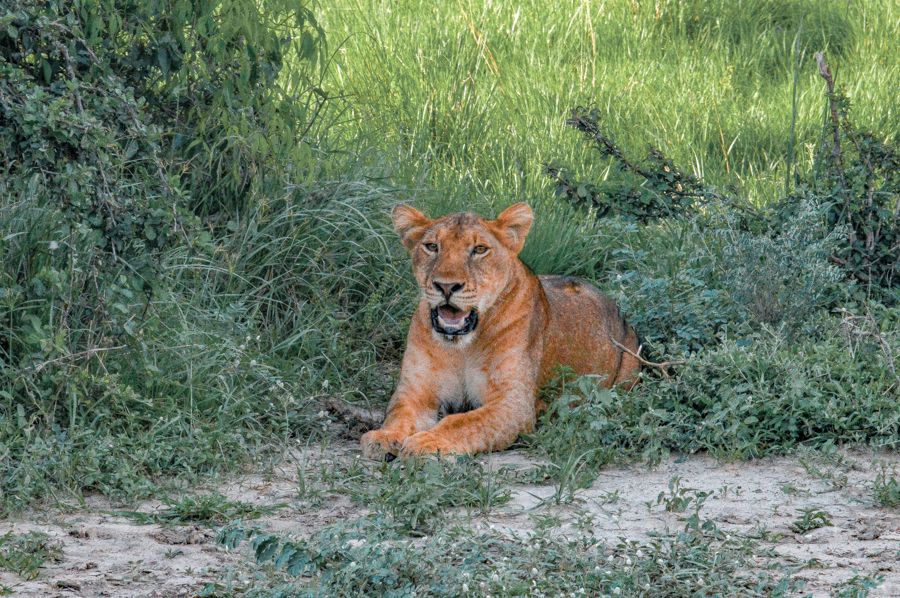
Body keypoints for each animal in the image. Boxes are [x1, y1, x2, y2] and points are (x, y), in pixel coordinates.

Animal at [360, 203, 640, 459]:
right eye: (432, 246)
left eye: (479, 249)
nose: (446, 286)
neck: (461, 347)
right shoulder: (415, 391)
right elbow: (400, 414)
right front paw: (384, 436)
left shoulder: (513, 404)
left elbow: (462, 422)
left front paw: (427, 441)